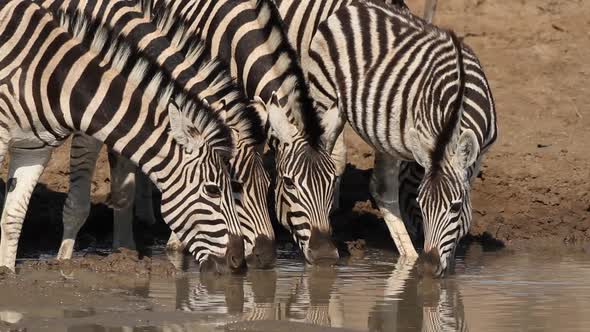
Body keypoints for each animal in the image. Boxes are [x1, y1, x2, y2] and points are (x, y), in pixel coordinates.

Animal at [0, 0, 245, 272]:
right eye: (212, 190)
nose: (238, 260)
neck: (55, 78)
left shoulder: (33, 150)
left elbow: (12, 218)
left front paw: (7, 272)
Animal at [300, 3, 500, 278]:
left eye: (455, 208)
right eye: (422, 205)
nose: (428, 268)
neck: (459, 100)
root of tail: (355, 6)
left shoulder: (479, 154)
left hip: (386, 132)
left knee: (381, 186)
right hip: (326, 100)